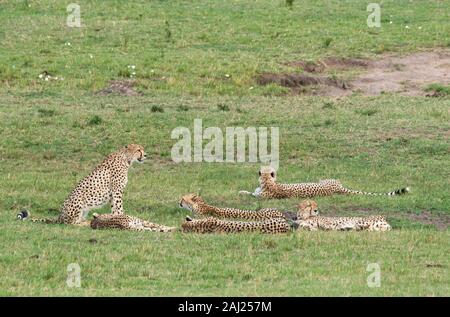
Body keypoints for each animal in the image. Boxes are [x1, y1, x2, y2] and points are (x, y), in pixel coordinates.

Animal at [17, 143, 147, 225]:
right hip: (78, 201)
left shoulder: (112, 194)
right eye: (138, 150)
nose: (146, 155)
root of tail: (59, 216)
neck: (126, 159)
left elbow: (114, 209)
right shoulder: (117, 192)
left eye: (142, 149)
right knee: (72, 223)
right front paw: (122, 217)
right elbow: (119, 208)